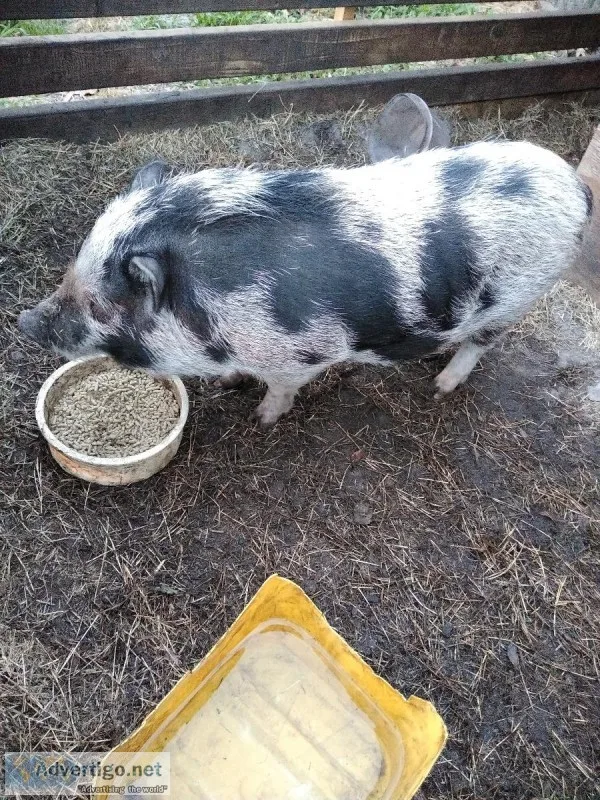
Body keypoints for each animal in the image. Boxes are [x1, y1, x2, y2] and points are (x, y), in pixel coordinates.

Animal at [18, 141, 592, 426]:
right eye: (69, 271)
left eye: (99, 304)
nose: (25, 319)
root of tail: (573, 184)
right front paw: (230, 386)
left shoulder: (301, 353)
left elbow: (281, 388)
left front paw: (262, 420)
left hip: (517, 297)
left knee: (479, 345)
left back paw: (440, 385)